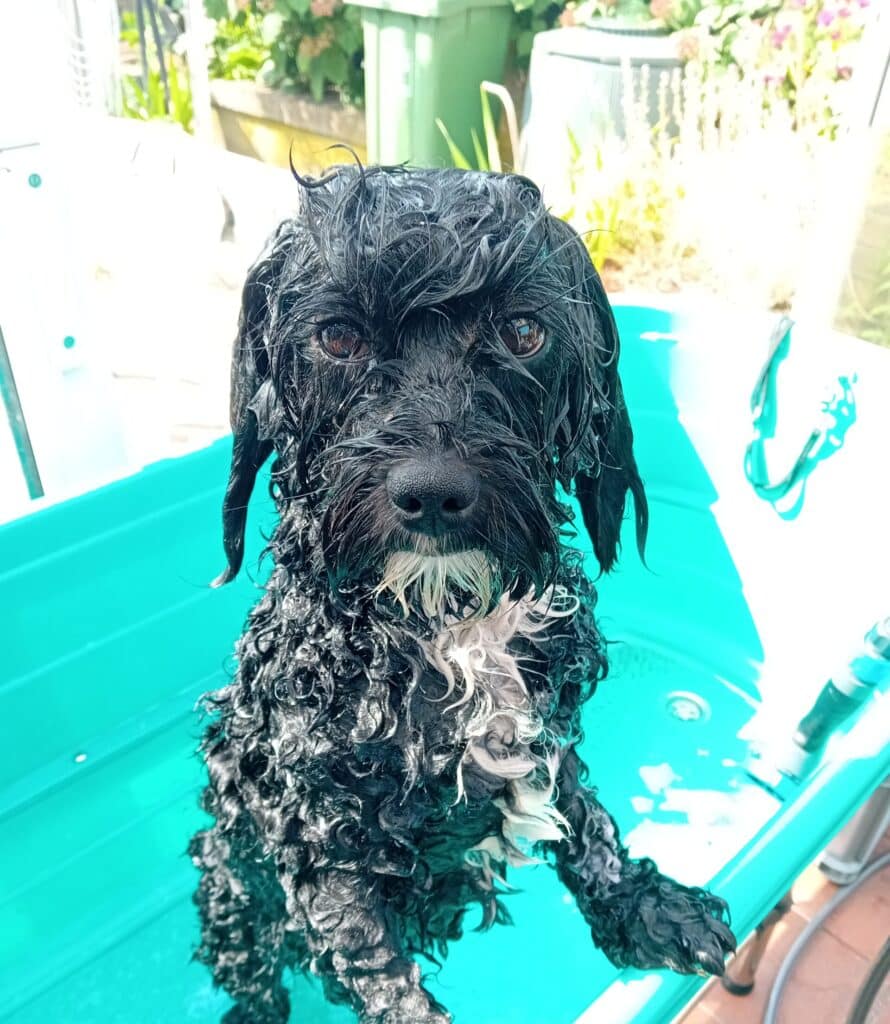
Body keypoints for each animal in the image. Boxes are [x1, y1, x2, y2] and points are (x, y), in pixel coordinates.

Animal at [189, 167, 737, 1024]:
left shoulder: (547, 734)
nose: (433, 492)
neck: (445, 626)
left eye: (522, 333)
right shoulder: (317, 839)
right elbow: (374, 965)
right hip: (231, 894)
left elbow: (589, 828)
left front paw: (647, 906)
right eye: (338, 339)